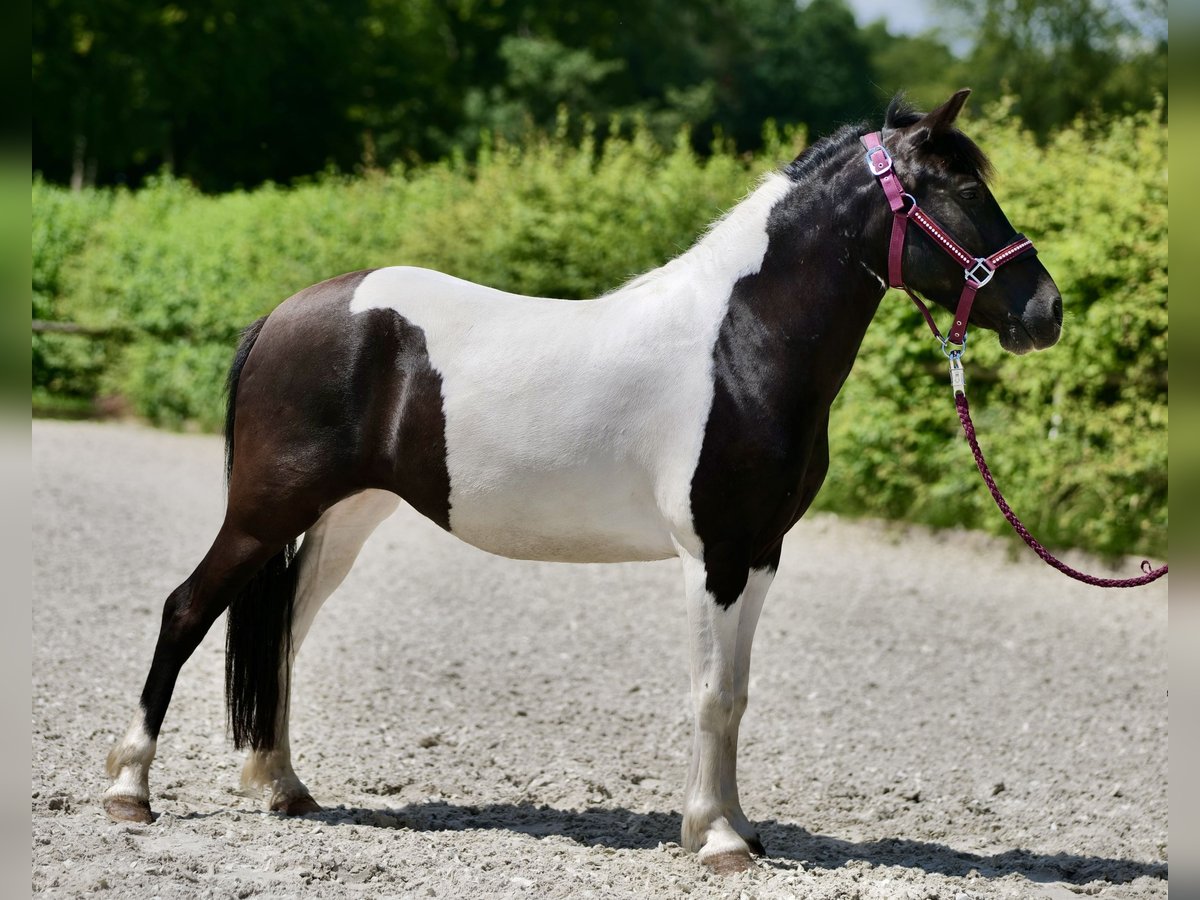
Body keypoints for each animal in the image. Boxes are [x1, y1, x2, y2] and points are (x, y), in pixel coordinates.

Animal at [103, 91, 1060, 873]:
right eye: (959, 193)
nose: (1046, 312)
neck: (738, 343)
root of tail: (283, 314)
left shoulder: (758, 554)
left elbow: (737, 695)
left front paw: (736, 828)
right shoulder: (712, 556)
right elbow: (712, 693)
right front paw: (716, 838)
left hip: (341, 519)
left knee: (282, 636)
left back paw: (281, 786)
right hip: (266, 511)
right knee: (187, 611)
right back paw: (129, 791)